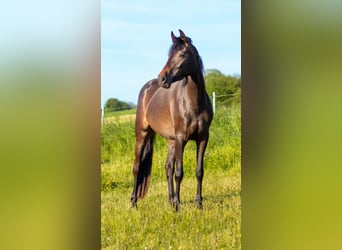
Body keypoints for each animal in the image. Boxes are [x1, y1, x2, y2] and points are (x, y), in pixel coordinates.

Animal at [132, 30, 212, 211]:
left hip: (171, 141)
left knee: (167, 167)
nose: (162, 78)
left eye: (182, 54)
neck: (193, 102)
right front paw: (178, 207)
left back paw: (170, 199)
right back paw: (133, 203)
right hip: (142, 135)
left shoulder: (203, 138)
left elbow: (199, 171)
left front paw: (198, 204)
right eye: (169, 55)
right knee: (137, 167)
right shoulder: (182, 138)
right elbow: (179, 172)